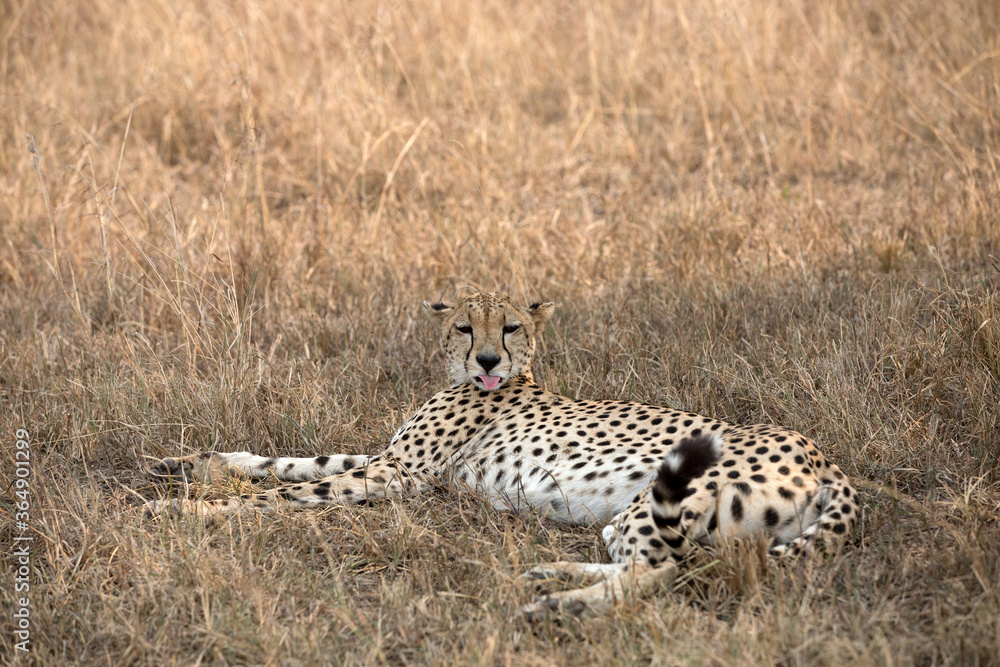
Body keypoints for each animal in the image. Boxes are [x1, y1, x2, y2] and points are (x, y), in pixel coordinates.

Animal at [146, 291, 859, 619]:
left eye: (511, 327)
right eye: (464, 327)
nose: (488, 359)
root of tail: (825, 458)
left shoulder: (400, 476)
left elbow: (292, 490)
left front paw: (186, 512)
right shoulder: (391, 463)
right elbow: (296, 463)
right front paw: (191, 468)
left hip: (660, 499)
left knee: (662, 574)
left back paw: (559, 607)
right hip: (644, 517)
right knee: (661, 564)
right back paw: (548, 576)